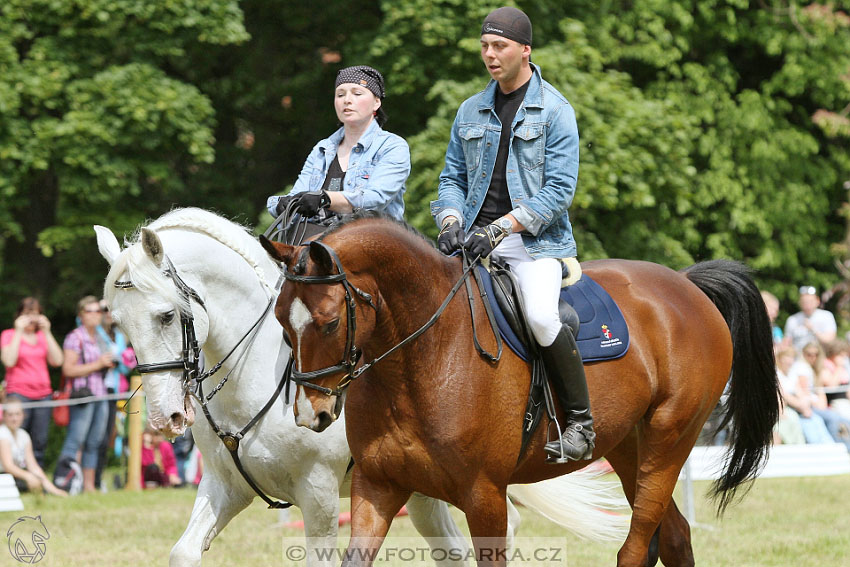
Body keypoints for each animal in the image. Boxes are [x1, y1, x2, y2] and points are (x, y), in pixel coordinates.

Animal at [93, 210, 628, 567]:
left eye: (167, 315)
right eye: (117, 322)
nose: (165, 418)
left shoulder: (319, 495)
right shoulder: (226, 486)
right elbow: (185, 551)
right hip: (424, 491)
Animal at [262, 214, 780, 567]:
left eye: (330, 323)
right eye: (281, 320)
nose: (310, 415)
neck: (420, 359)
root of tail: (686, 285)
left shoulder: (485, 496)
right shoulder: (378, 486)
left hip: (670, 441)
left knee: (636, 547)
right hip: (628, 446)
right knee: (673, 536)